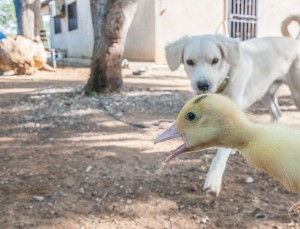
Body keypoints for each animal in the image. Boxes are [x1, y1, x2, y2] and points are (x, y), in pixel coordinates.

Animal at [166, 35, 300, 196]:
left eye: (215, 60)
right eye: (189, 62)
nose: (203, 85)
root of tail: (293, 40)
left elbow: (221, 154)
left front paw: (213, 179)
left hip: (295, 94)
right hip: (266, 94)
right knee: (277, 113)